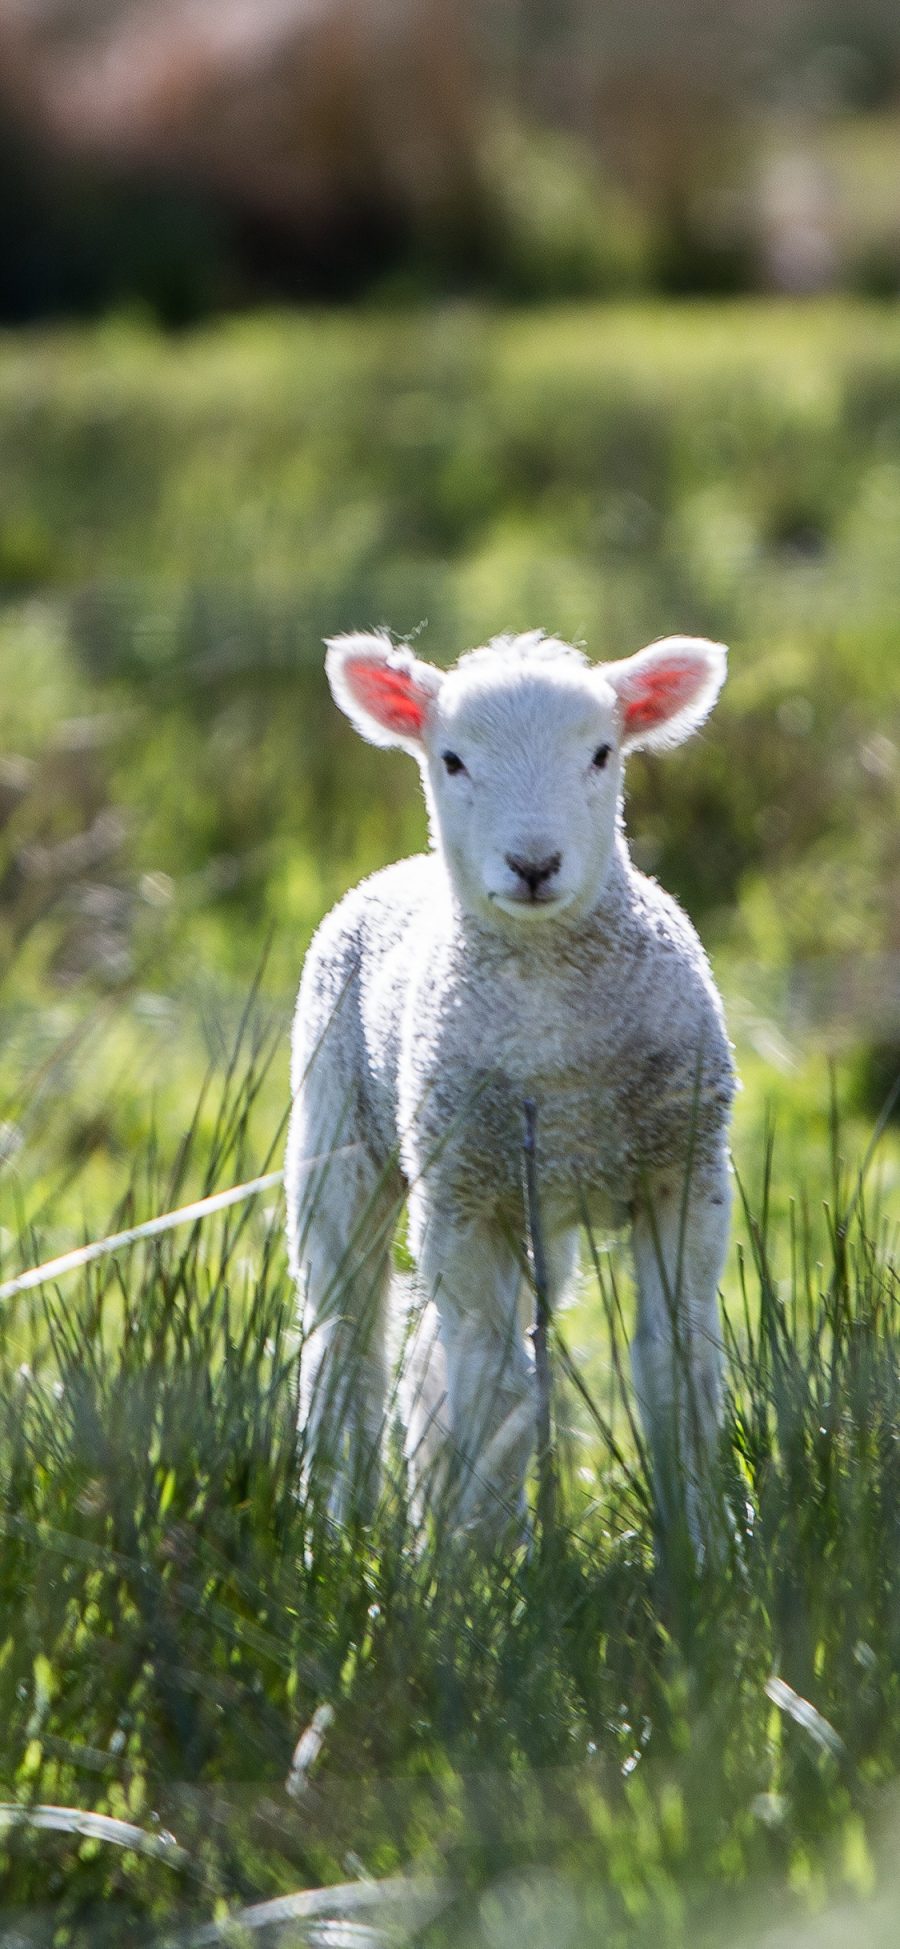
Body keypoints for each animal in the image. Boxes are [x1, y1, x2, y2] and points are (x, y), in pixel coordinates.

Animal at [284, 631, 736, 1543]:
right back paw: (338, 1530)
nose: (533, 864)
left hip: (535, 1204)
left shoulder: (684, 1173)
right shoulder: (464, 1197)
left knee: (439, 1350)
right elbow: (492, 1384)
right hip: (337, 1139)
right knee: (347, 1341)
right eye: (452, 758)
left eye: (602, 753)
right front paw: (486, 1561)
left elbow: (676, 1363)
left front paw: (699, 1546)